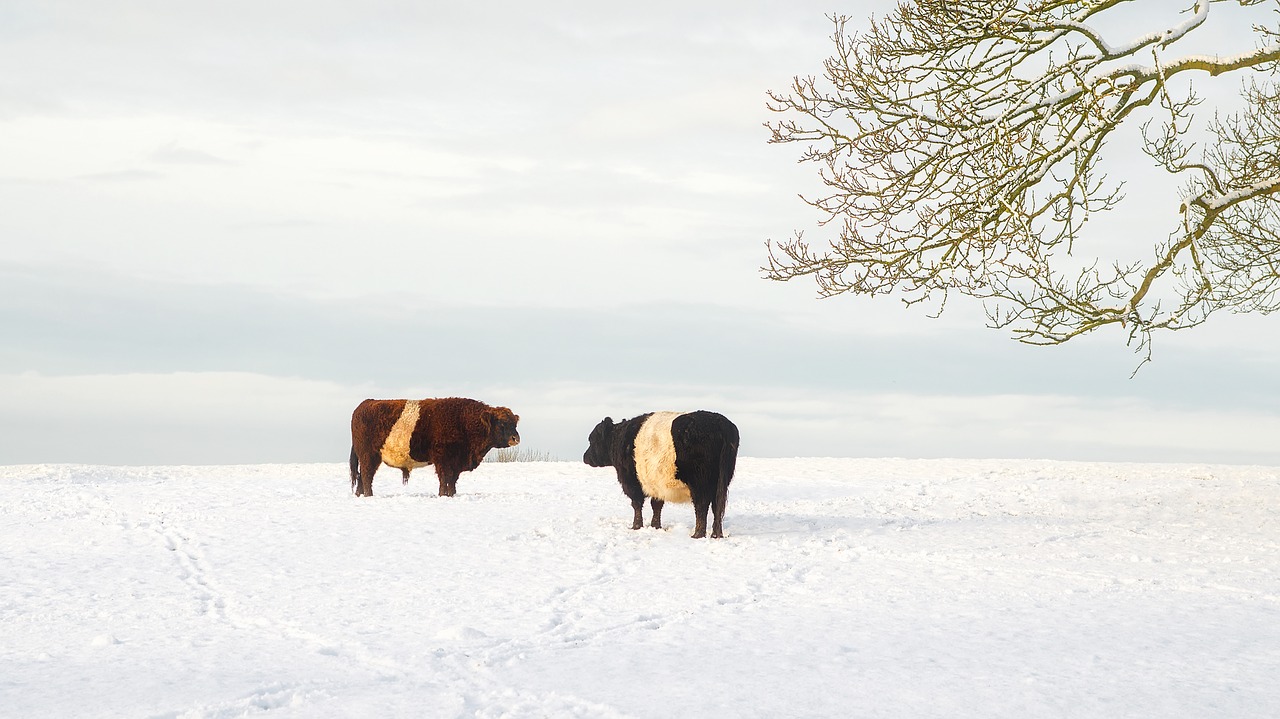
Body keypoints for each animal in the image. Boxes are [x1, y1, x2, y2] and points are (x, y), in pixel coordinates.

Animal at [348, 394, 517, 496]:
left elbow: (452, 481)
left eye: (514, 423)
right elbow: (444, 479)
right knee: (367, 476)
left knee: (362, 477)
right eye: (502, 423)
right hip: (369, 456)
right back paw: (369, 495)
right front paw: (443, 495)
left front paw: (451, 495)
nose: (516, 438)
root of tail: (366, 403)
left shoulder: (455, 462)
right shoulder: (442, 459)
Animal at [583, 409, 742, 537]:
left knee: (702, 506)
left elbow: (637, 504)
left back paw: (697, 534)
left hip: (700, 481)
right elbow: (656, 505)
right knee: (717, 507)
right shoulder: (656, 484)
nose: (585, 457)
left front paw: (636, 526)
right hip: (720, 482)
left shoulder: (630, 481)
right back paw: (716, 534)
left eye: (592, 440)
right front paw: (655, 526)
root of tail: (720, 423)